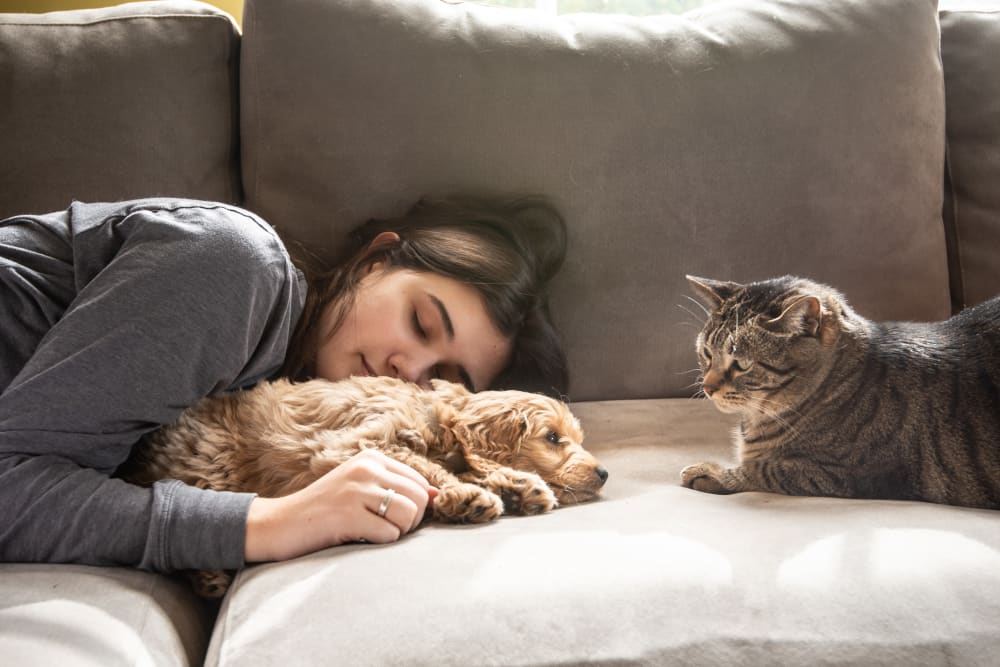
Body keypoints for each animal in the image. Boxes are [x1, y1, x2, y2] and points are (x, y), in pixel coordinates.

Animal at [123, 378, 608, 596]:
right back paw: (209, 578)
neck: (438, 419)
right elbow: (424, 468)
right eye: (553, 438)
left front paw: (519, 486)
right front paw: (465, 496)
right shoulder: (355, 444)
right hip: (212, 465)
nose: (604, 473)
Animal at [680, 274, 1000, 508]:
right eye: (707, 353)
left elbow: (769, 469)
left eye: (741, 364)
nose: (707, 387)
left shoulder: (850, 473)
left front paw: (711, 473)